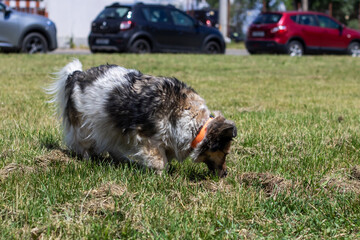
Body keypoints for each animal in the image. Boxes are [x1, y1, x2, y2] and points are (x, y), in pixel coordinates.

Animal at [49, 59, 238, 177]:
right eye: (225, 152)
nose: (226, 174)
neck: (196, 124)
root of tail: (76, 75)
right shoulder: (147, 137)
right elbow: (160, 161)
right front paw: (162, 176)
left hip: (109, 125)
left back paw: (122, 160)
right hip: (86, 124)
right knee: (83, 143)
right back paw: (88, 160)